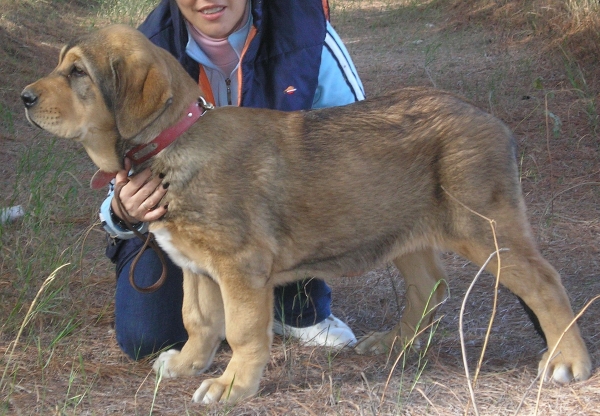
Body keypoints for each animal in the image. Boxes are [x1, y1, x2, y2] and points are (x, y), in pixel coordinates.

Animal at [22, 25, 592, 404]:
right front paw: (186, 365)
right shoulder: (195, 267)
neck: (172, 140)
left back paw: (569, 361)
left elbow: (242, 332)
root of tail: (491, 121)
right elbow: (198, 321)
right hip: (403, 231)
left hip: (484, 227)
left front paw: (232, 386)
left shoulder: (240, 267)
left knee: (545, 282)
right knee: (430, 287)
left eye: (77, 73)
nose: (23, 97)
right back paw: (395, 344)